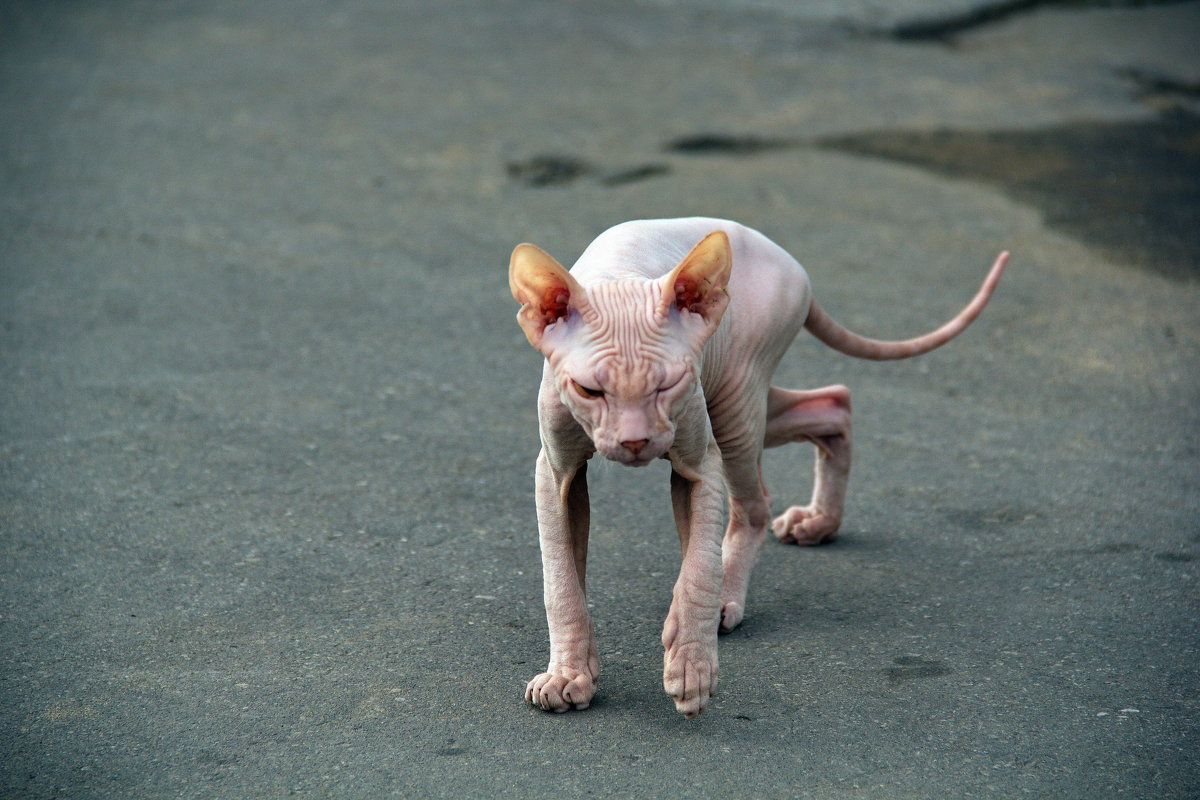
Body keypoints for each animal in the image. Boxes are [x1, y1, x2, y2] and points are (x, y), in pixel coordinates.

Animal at [506, 215, 1003, 714]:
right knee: (833, 404)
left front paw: (691, 668)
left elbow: (699, 567)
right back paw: (819, 520)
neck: (620, 276)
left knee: (755, 502)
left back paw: (731, 595)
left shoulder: (698, 461)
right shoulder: (555, 470)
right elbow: (560, 579)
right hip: (740, 394)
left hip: (735, 395)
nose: (635, 442)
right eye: (590, 390)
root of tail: (792, 264)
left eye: (668, 384)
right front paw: (568, 674)